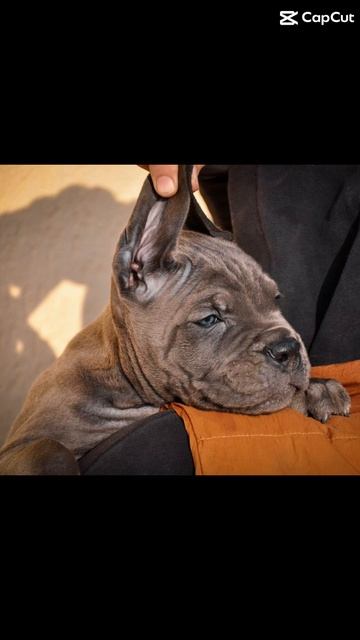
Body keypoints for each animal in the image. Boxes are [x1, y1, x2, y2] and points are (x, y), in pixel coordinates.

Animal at [0, 165, 350, 476]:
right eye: (210, 319)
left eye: (275, 299)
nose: (287, 348)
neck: (120, 374)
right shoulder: (18, 448)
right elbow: (50, 448)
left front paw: (317, 390)